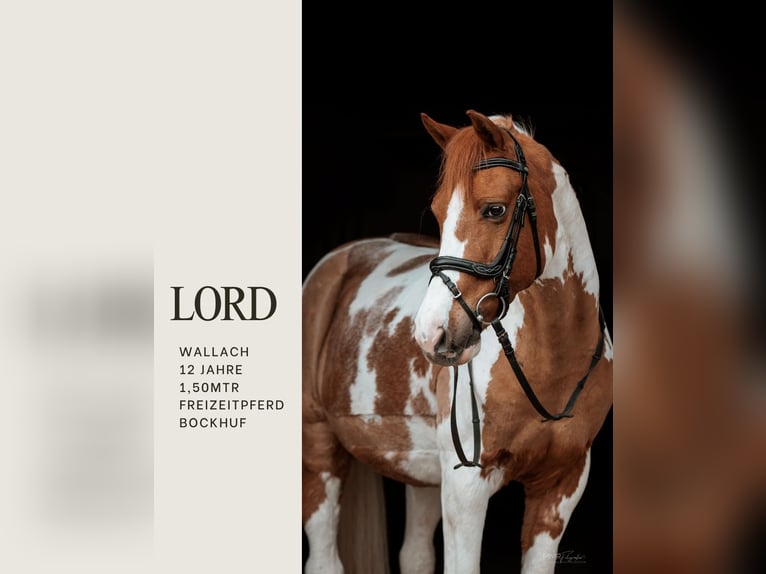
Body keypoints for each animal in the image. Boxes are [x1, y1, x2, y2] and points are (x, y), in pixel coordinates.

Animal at [302, 109, 613, 574]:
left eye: (494, 209)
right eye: (437, 211)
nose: (430, 333)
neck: (552, 362)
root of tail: (336, 263)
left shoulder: (561, 485)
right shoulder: (466, 486)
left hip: (420, 472)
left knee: (414, 554)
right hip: (319, 450)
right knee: (324, 559)